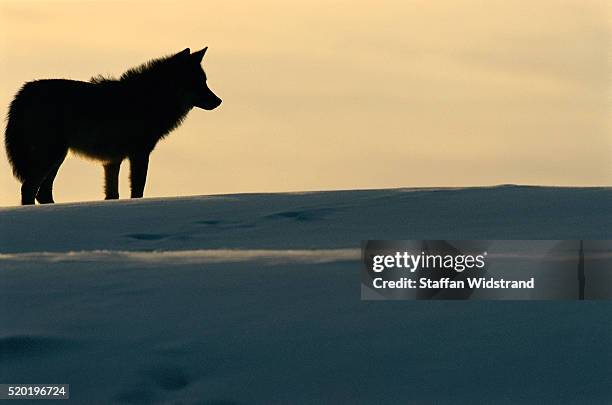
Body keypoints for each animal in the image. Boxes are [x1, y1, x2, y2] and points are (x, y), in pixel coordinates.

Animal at [4, 47, 220, 204]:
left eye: (205, 81)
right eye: (199, 82)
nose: (219, 101)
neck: (150, 99)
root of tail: (25, 91)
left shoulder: (112, 160)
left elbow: (112, 194)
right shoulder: (139, 154)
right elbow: (138, 189)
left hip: (57, 158)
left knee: (42, 193)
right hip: (52, 156)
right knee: (29, 188)